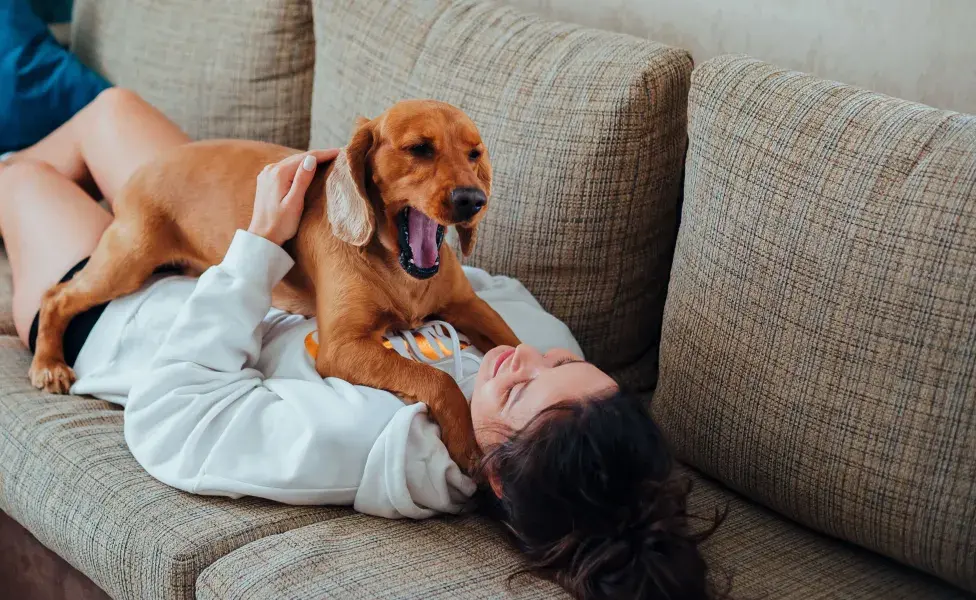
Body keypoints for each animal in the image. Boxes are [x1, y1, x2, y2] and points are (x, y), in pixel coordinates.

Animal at [28, 101, 520, 472]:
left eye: (475, 154)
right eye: (419, 149)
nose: (473, 200)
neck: (399, 268)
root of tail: (144, 169)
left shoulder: (471, 306)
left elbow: (513, 343)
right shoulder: (342, 346)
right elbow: (437, 378)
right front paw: (467, 443)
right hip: (126, 262)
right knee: (56, 296)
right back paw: (49, 363)